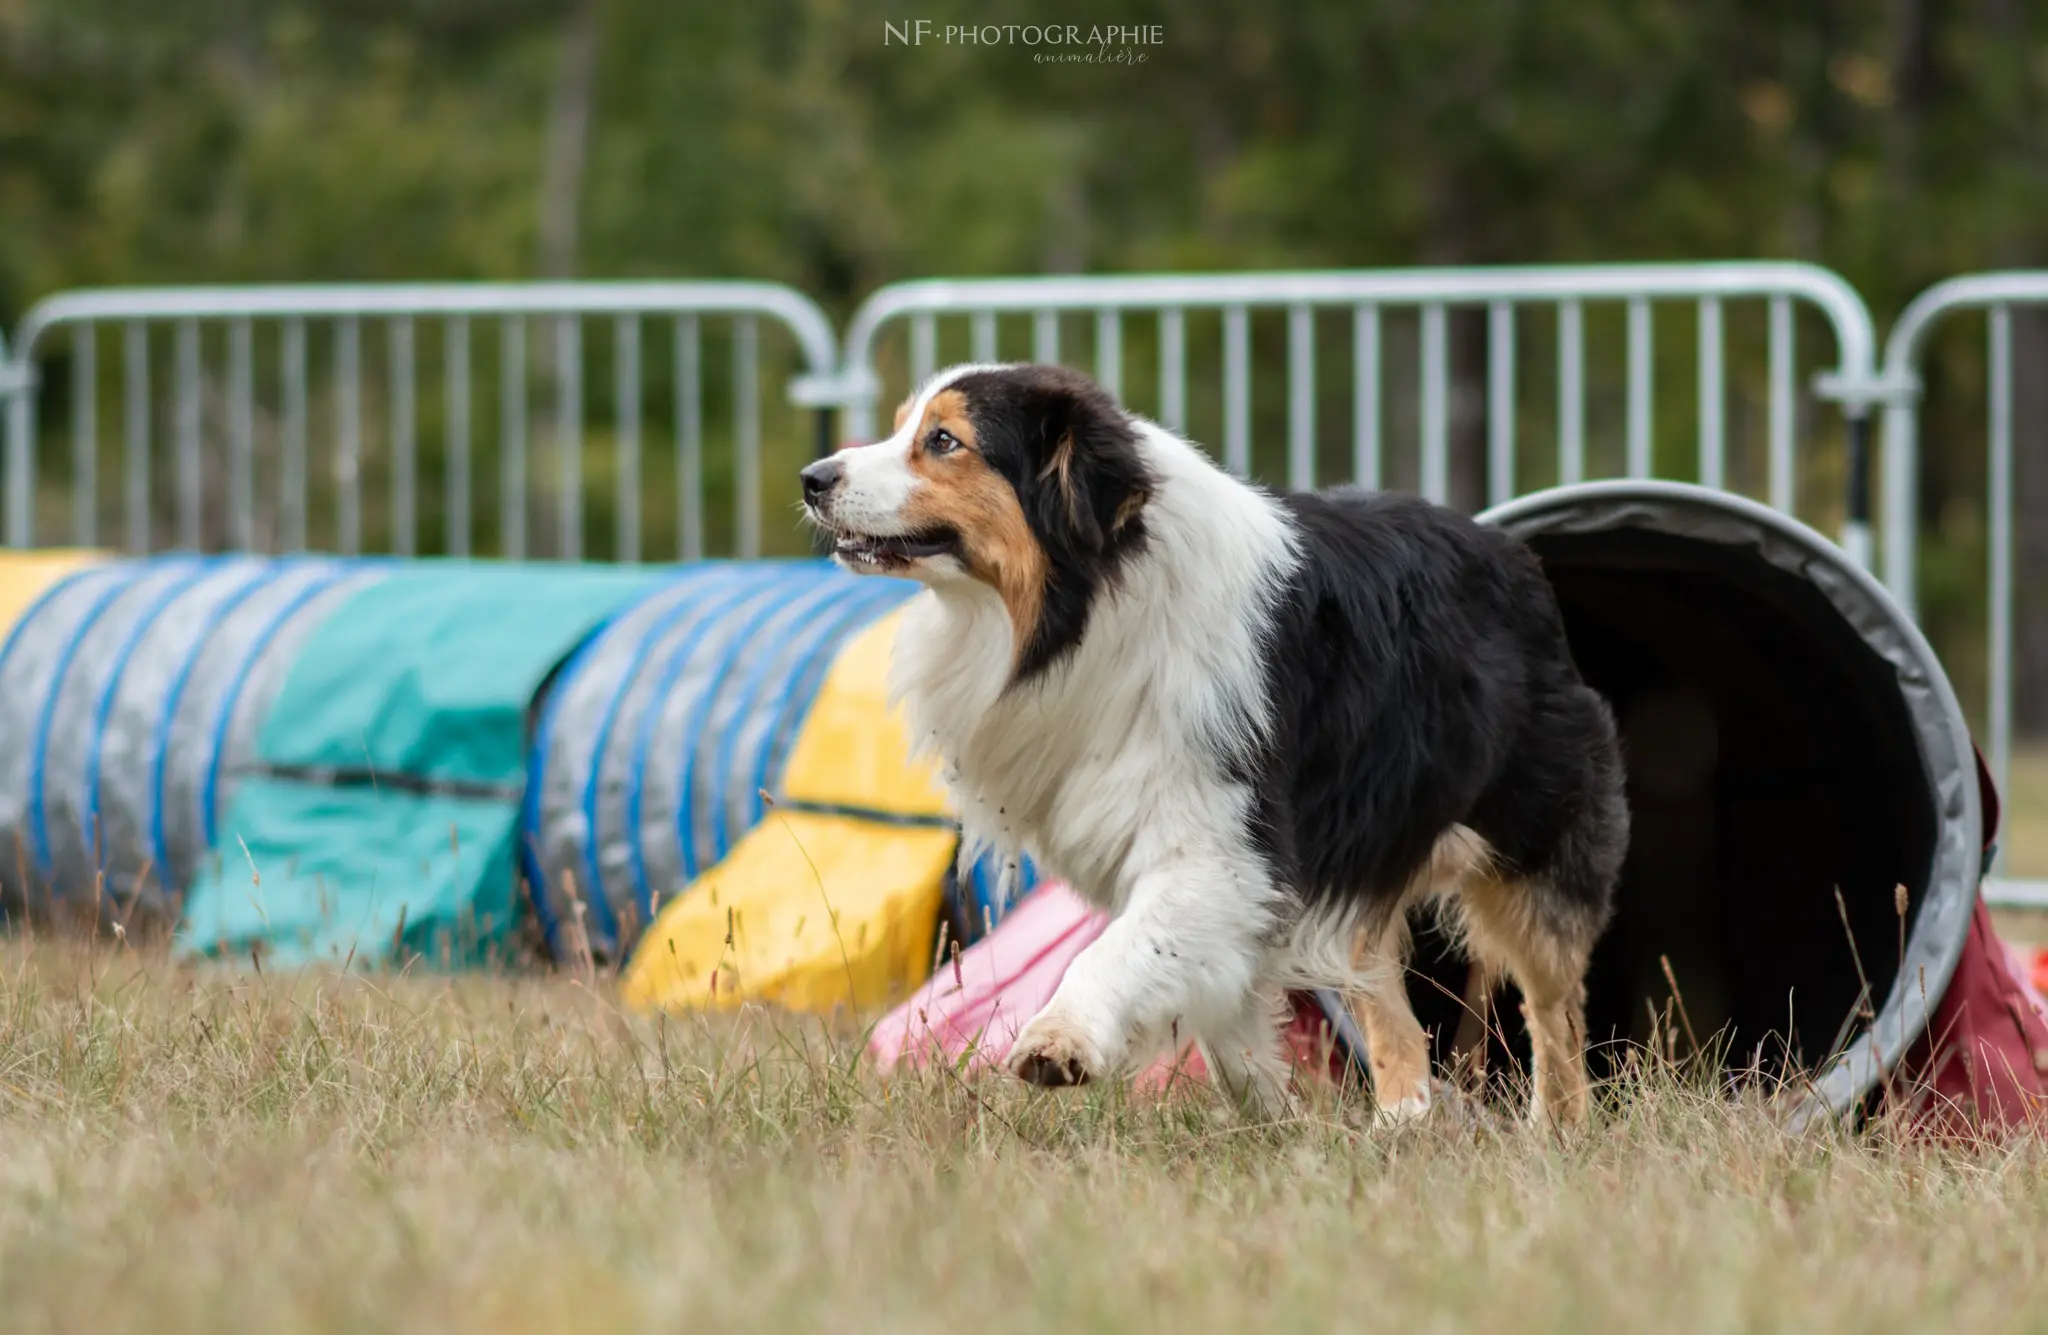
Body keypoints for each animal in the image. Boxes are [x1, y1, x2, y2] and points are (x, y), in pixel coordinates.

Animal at [798, 364, 1613, 1130]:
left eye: (944, 441)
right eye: (901, 425)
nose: (813, 478)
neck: (1089, 603)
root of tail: (1512, 554)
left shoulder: (1222, 845)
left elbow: (1119, 949)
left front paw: (1059, 1040)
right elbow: (1227, 1018)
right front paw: (1276, 1120)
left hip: (1535, 845)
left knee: (1555, 1007)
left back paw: (1556, 1128)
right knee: (1387, 999)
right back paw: (1402, 1121)